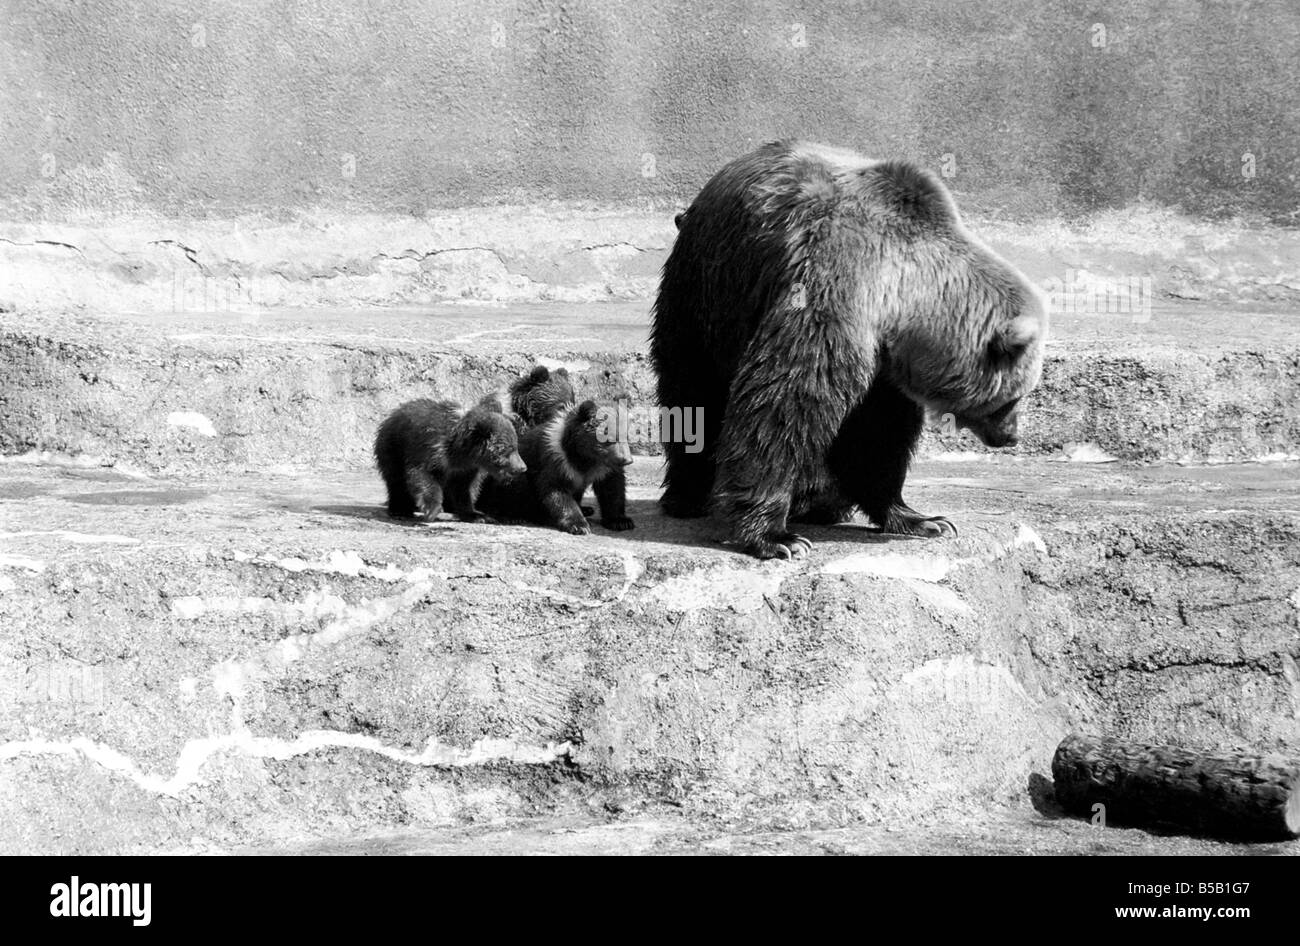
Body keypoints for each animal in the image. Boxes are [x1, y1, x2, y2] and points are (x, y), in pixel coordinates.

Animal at [650, 138, 1045, 561]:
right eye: (1014, 395)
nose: (1012, 435)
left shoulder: (885, 360)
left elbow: (878, 430)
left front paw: (923, 519)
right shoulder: (831, 289)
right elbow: (786, 399)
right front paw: (777, 536)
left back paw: (821, 502)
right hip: (706, 288)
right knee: (692, 391)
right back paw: (687, 496)